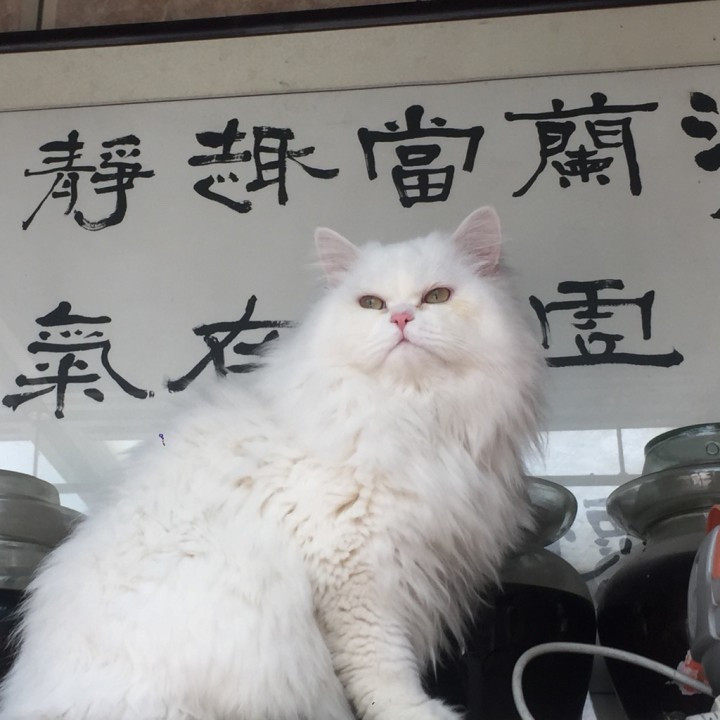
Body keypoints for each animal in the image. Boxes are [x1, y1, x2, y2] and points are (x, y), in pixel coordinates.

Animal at [0, 207, 542, 720]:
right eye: (371, 304)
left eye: (437, 297)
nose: (402, 319)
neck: (413, 414)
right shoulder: (356, 576)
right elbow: (382, 668)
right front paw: (416, 711)